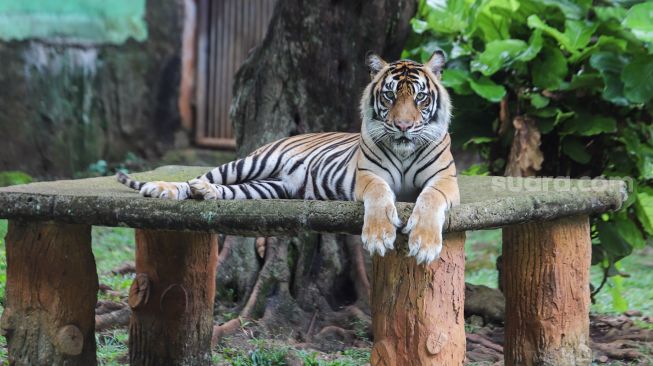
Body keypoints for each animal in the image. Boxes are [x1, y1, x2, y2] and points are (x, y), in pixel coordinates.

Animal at [118, 50, 464, 264]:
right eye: (390, 95)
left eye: (420, 97)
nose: (403, 126)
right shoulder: (369, 176)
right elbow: (380, 197)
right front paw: (379, 237)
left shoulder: (444, 180)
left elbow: (429, 199)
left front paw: (424, 245)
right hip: (252, 163)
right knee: (202, 176)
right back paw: (165, 189)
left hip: (267, 187)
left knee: (227, 190)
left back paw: (205, 193)